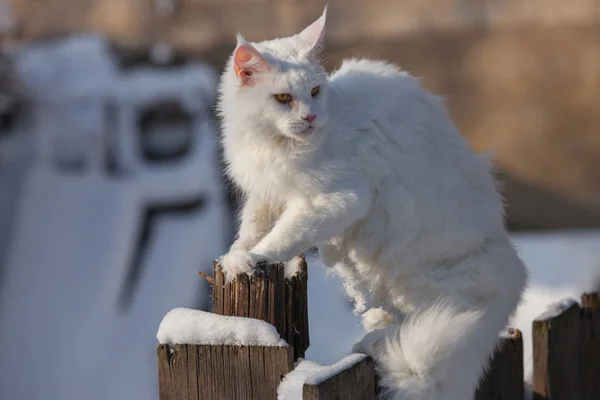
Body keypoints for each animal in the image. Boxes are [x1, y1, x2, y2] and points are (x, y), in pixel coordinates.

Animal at [216, 7, 524, 400]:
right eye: (283, 98)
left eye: (315, 92)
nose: (311, 117)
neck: (274, 145)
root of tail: (511, 273)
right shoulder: (267, 194)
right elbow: (251, 229)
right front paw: (235, 256)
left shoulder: (337, 200)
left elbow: (283, 237)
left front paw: (254, 258)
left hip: (421, 274)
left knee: (414, 325)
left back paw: (373, 343)